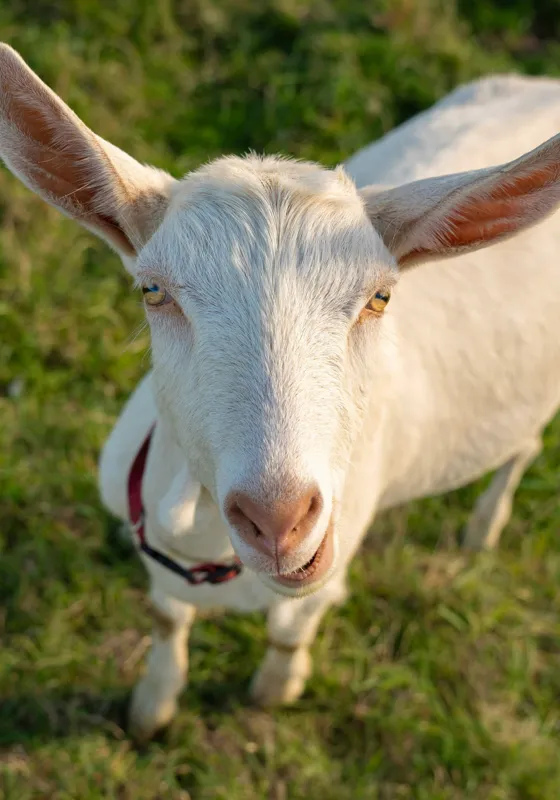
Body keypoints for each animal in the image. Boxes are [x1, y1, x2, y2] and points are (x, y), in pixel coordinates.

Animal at [1, 45, 559, 743]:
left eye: (381, 296)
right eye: (153, 291)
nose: (278, 519)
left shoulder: (325, 574)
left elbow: (291, 631)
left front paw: (275, 690)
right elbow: (166, 619)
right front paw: (152, 708)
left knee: (523, 447)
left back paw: (484, 527)